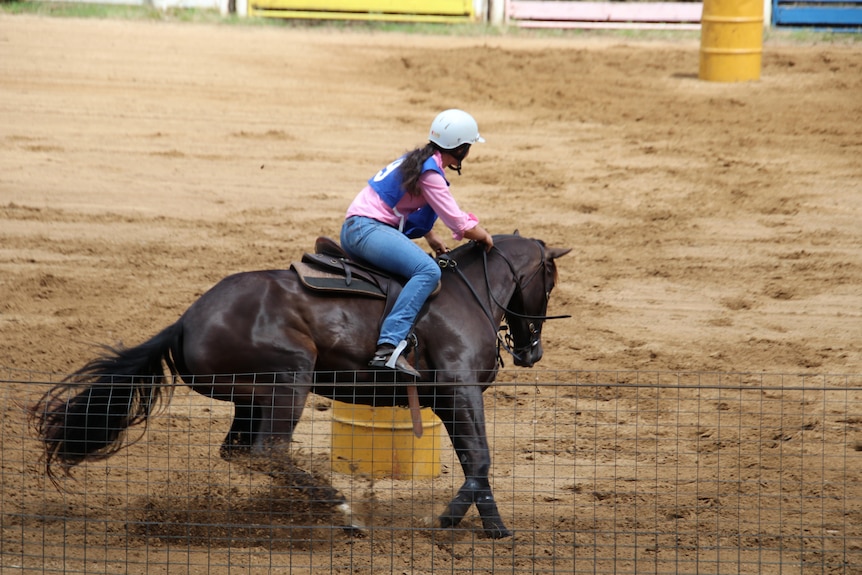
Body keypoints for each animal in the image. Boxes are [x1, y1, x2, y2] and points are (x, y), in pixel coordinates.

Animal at [30, 233, 572, 540]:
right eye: (550, 280)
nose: (532, 352)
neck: (466, 294)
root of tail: (183, 323)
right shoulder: (460, 392)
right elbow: (479, 459)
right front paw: (454, 522)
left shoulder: (450, 400)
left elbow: (473, 461)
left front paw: (489, 527)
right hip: (290, 380)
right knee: (268, 451)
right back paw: (343, 509)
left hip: (252, 399)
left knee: (242, 452)